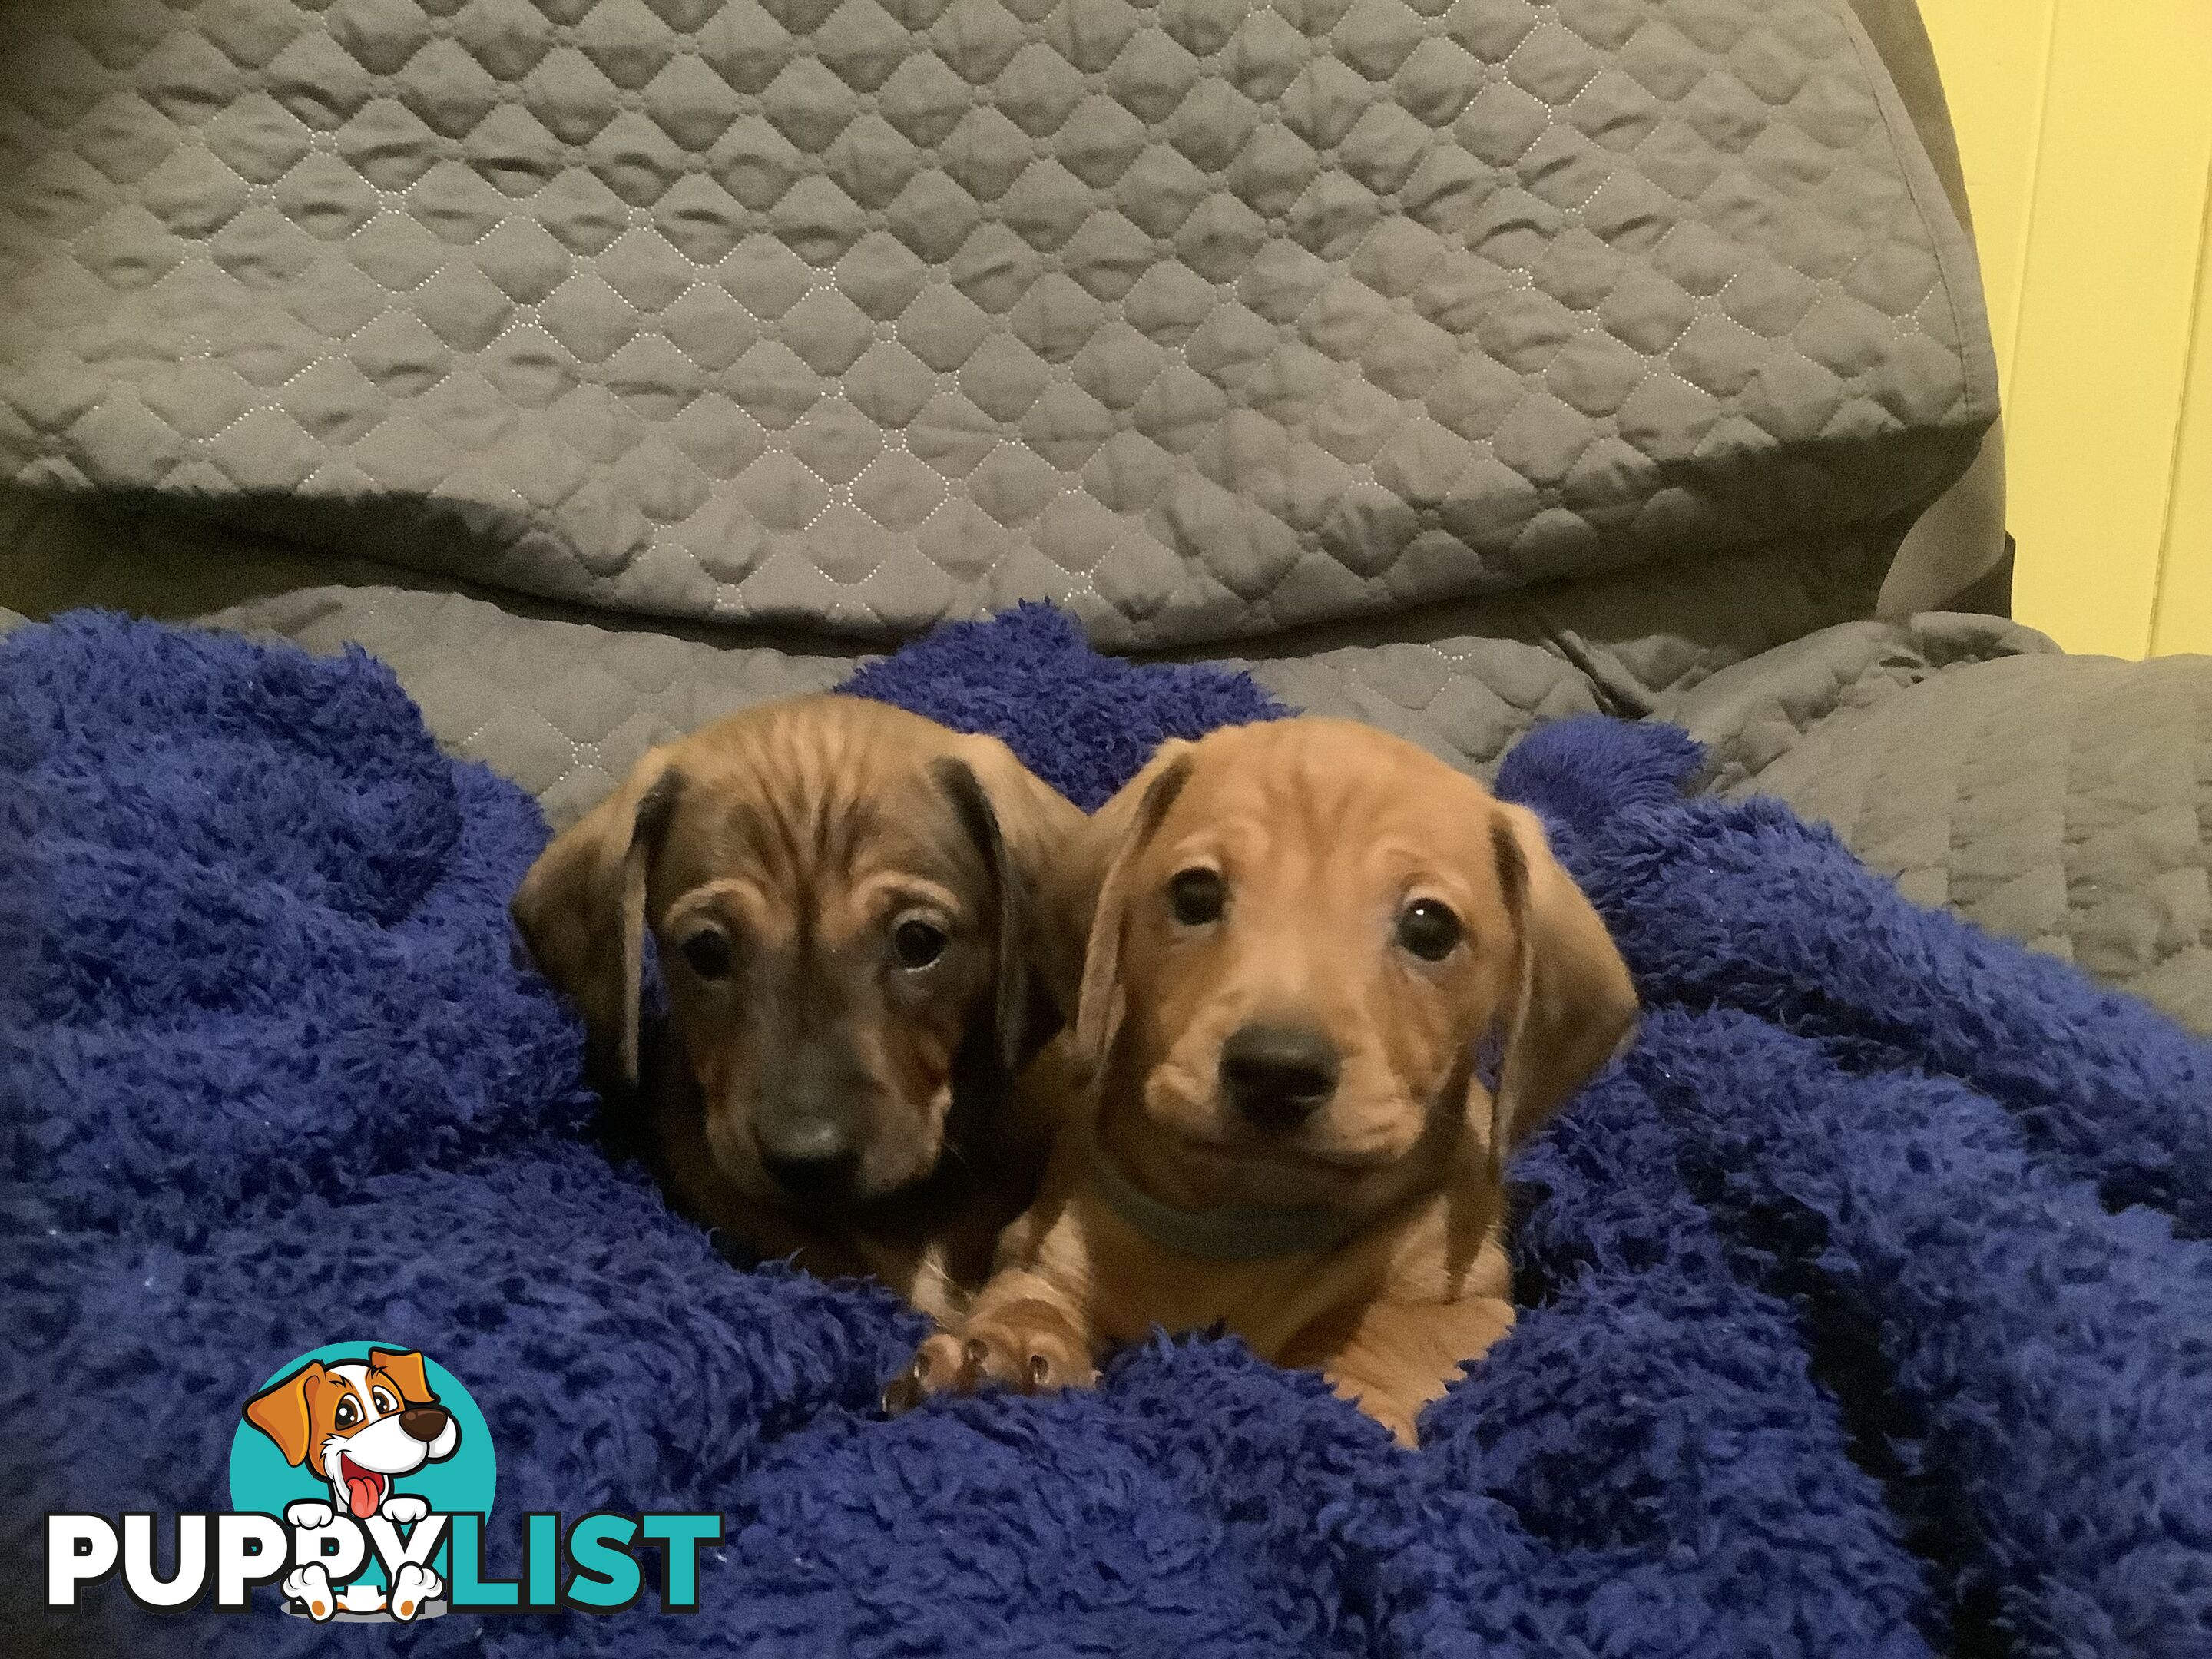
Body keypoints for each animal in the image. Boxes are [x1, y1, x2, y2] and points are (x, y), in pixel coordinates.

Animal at [889, 720, 1637, 1451]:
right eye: (1195, 893)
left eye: (1430, 926)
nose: (1278, 1071)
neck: (1242, 1227)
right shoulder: (1040, 1249)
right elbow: (1026, 1294)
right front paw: (1010, 1347)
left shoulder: (1472, 1305)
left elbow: (1394, 1335)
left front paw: (1346, 1407)